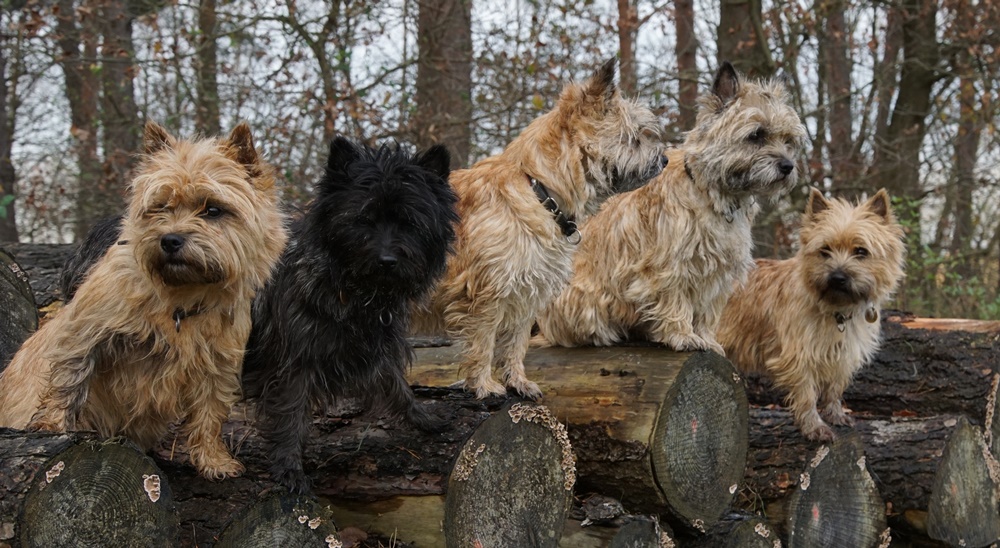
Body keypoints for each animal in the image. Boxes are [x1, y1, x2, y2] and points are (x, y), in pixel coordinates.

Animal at [0, 121, 288, 479]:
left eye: (213, 209)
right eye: (160, 206)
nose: (170, 240)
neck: (183, 296)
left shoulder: (218, 363)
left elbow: (210, 413)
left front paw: (214, 461)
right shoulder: (84, 331)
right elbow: (68, 380)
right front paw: (52, 428)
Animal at [242, 136, 458, 493]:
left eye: (410, 223)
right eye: (363, 219)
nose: (387, 261)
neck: (354, 291)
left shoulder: (379, 345)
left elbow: (396, 382)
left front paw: (421, 416)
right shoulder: (293, 358)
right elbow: (291, 411)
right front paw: (289, 466)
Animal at [414, 57, 666, 400]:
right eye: (636, 137)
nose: (664, 160)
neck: (538, 188)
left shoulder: (526, 291)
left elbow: (516, 343)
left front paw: (517, 381)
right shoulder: (487, 293)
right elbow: (483, 342)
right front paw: (484, 384)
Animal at [537, 62, 805, 353]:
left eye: (788, 140)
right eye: (756, 135)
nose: (788, 166)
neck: (712, 194)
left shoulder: (718, 273)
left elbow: (708, 311)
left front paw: (708, 339)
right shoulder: (669, 265)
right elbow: (675, 299)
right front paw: (683, 335)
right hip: (585, 300)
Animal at [717, 188, 905, 441]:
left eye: (861, 251)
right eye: (825, 250)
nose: (838, 277)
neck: (838, 311)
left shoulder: (843, 354)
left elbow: (835, 388)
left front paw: (836, 414)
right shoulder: (799, 356)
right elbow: (807, 395)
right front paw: (814, 427)